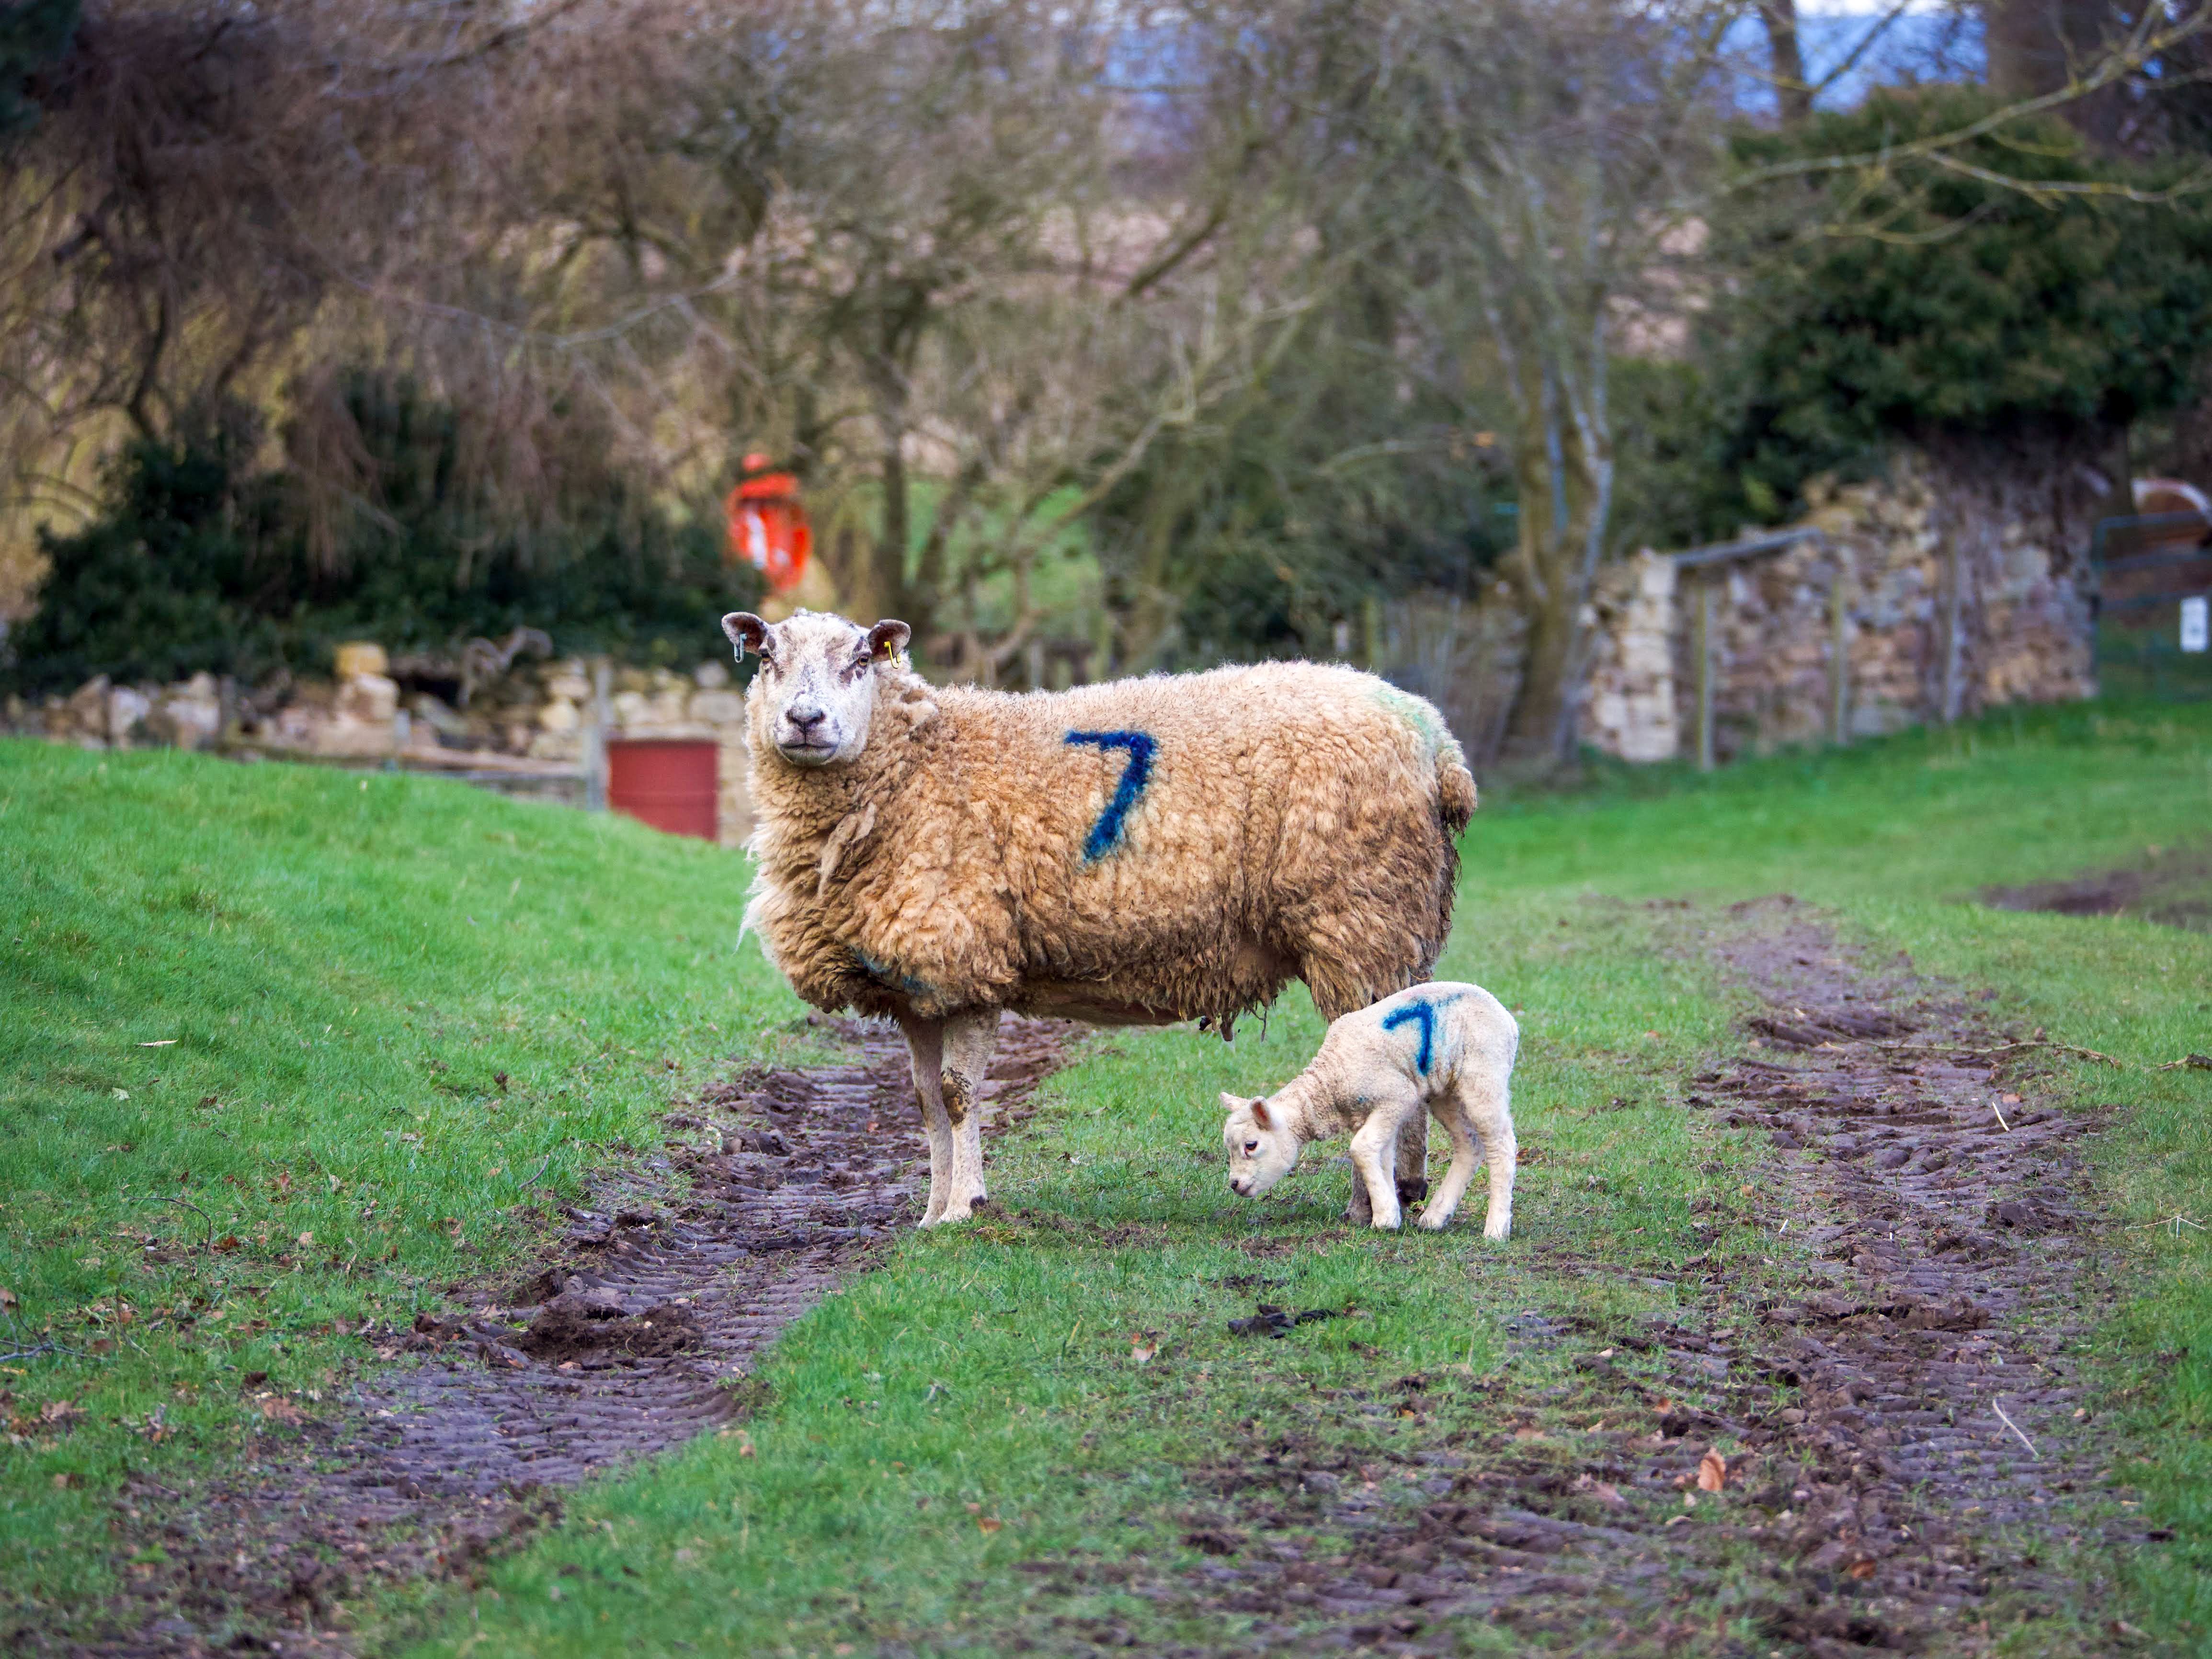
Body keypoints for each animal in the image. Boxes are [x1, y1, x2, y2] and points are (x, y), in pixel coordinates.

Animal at [723, 608, 1478, 1227]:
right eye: (767, 658)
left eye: (859, 661)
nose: (805, 720)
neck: (918, 763)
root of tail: (1438, 743)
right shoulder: (915, 985)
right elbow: (926, 1102)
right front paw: (931, 1214)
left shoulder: (968, 958)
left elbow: (960, 1097)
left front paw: (965, 1209)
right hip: (1395, 929)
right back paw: (1405, 1189)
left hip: (1357, 922)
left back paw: (1365, 1204)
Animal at [1221, 981, 1518, 1238]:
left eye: (1251, 1145)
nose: (1234, 1184)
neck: (1330, 1083)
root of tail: (1509, 1021)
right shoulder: (1373, 1113)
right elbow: (1381, 1156)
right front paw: (1390, 1213)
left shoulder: (1398, 1096)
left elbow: (1361, 1148)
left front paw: (1384, 1217)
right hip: (1444, 1092)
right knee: (1469, 1144)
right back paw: (1435, 1218)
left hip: (1484, 1074)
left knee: (1501, 1143)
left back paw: (1496, 1229)